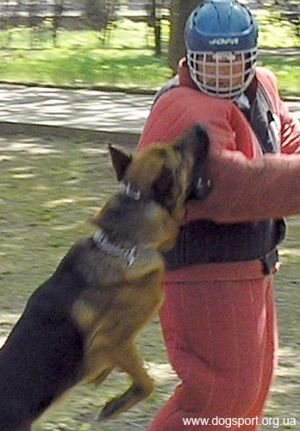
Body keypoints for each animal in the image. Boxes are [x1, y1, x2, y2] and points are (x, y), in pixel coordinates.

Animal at [0, 123, 211, 430]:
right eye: (179, 152)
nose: (201, 126)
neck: (123, 246)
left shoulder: (117, 347)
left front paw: (102, 379)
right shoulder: (114, 342)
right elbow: (146, 382)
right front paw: (117, 404)